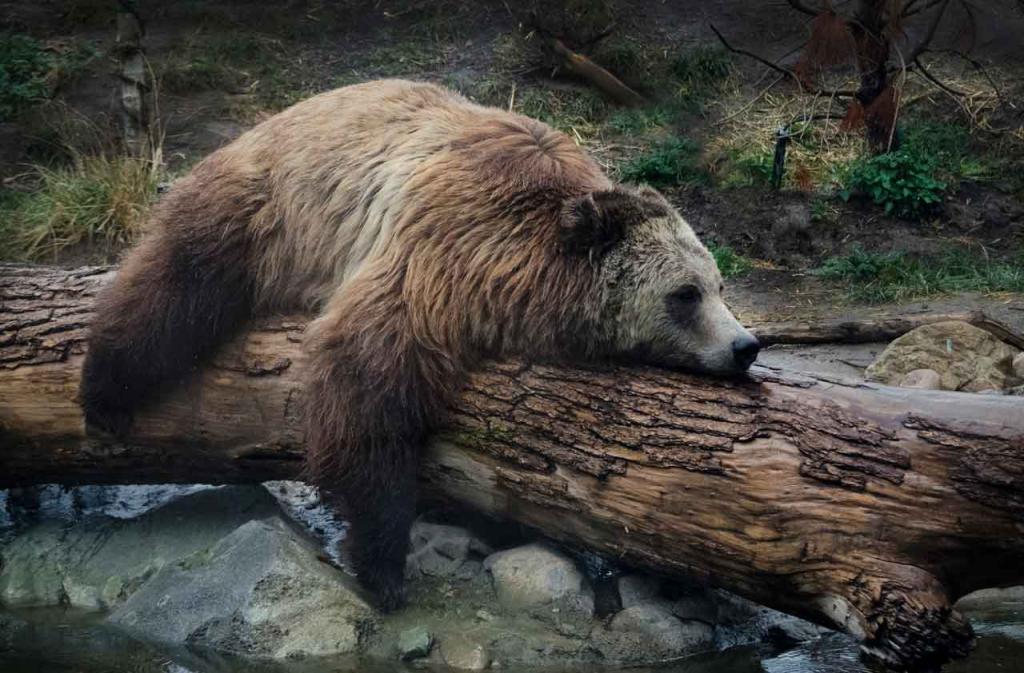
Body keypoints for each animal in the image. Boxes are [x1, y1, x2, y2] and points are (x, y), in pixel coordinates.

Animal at [80, 79, 760, 610]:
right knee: (178, 281)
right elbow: (366, 374)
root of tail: (277, 115)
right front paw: (382, 563)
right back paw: (105, 391)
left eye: (720, 285)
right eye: (685, 294)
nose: (746, 345)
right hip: (268, 207)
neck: (528, 271)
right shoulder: (445, 248)